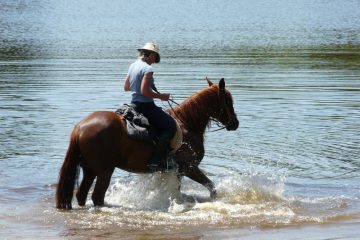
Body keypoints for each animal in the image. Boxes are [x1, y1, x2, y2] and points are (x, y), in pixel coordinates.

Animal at [56, 79, 239, 210]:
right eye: (228, 102)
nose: (235, 123)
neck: (187, 125)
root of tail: (80, 127)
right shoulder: (189, 167)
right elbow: (211, 187)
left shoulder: (179, 171)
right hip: (104, 171)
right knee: (97, 197)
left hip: (89, 170)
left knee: (81, 195)